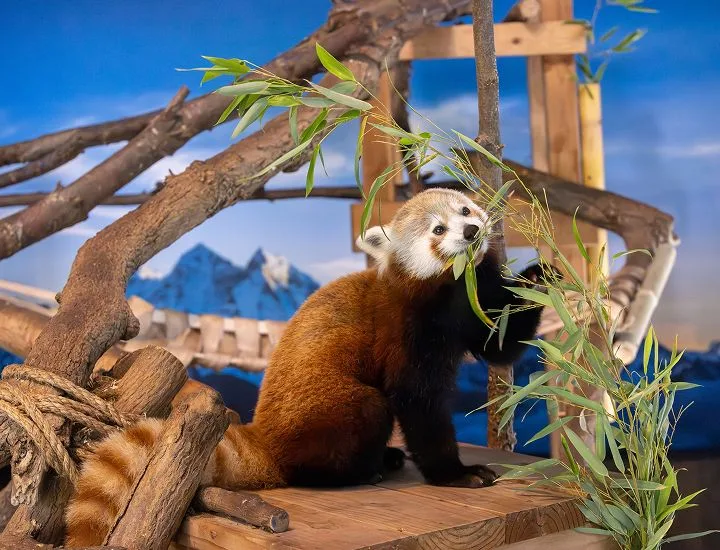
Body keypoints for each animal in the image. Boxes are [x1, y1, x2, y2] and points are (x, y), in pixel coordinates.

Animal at [65, 188, 548, 547]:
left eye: (464, 209)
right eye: (438, 229)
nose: (470, 231)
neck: (451, 290)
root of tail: (266, 440)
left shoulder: (468, 309)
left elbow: (500, 343)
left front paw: (544, 274)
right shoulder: (407, 328)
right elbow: (418, 402)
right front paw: (456, 474)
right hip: (334, 411)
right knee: (366, 412)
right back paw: (363, 468)